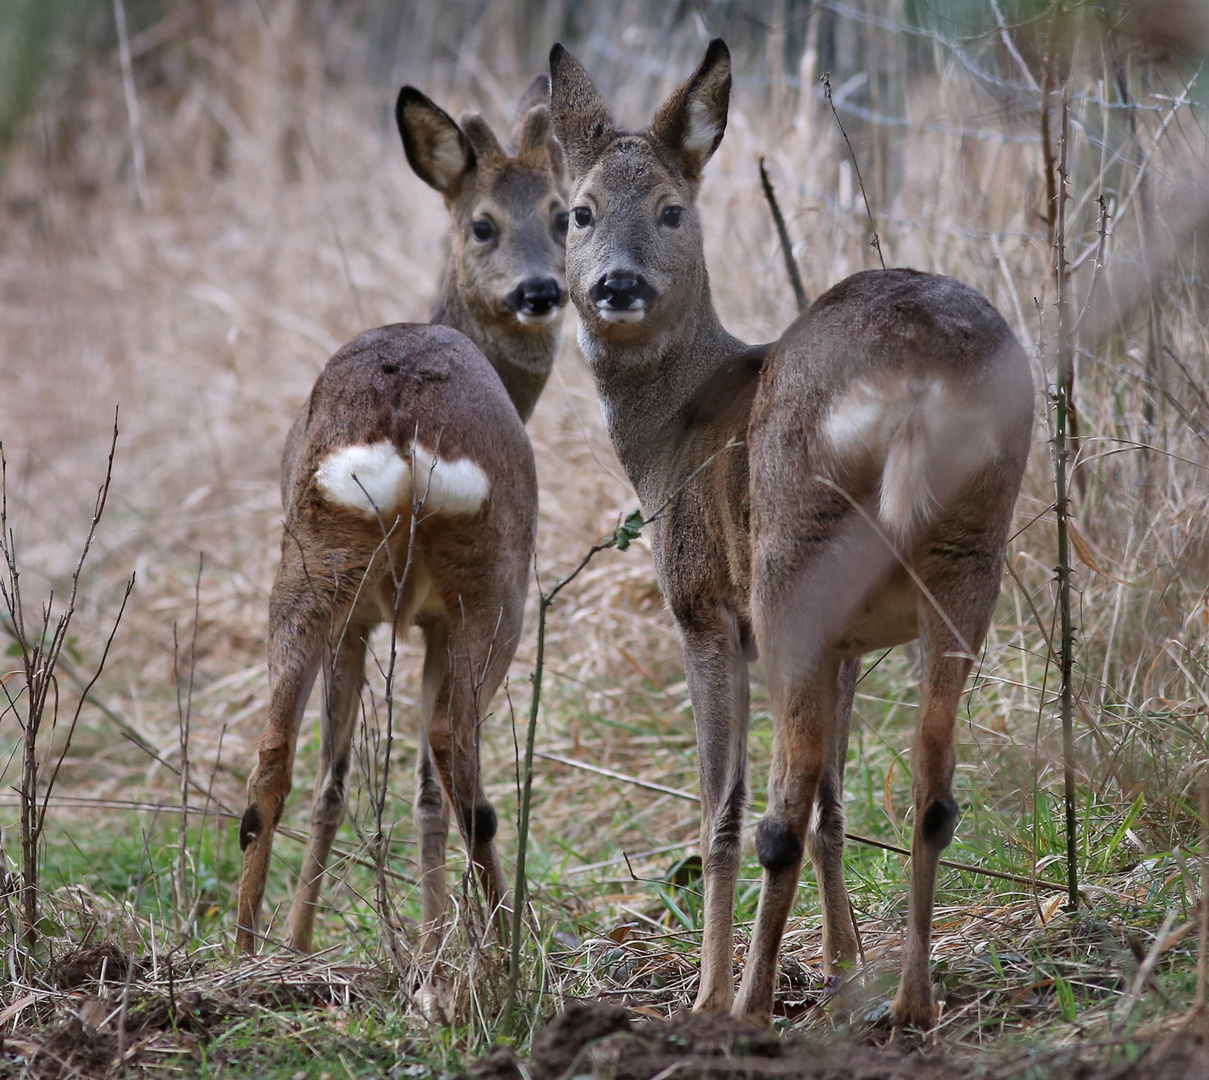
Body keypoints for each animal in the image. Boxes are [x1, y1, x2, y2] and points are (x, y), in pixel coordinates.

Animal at [238, 79, 568, 962]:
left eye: (563, 214)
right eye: (483, 223)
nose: (541, 291)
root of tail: (405, 423)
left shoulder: (368, 619)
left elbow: (340, 781)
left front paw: (309, 939)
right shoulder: (428, 619)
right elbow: (418, 785)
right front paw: (432, 940)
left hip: (314, 560)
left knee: (273, 750)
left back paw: (242, 949)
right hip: (492, 581)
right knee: (459, 751)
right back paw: (502, 949)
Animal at [548, 37, 1030, 1025]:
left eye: (672, 209)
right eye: (578, 212)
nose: (617, 285)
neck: (674, 430)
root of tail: (911, 379)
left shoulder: (701, 609)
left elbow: (721, 814)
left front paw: (706, 992)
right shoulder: (848, 643)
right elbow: (841, 809)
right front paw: (846, 964)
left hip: (789, 562)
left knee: (779, 806)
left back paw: (745, 1007)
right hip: (968, 553)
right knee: (928, 785)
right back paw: (910, 1004)